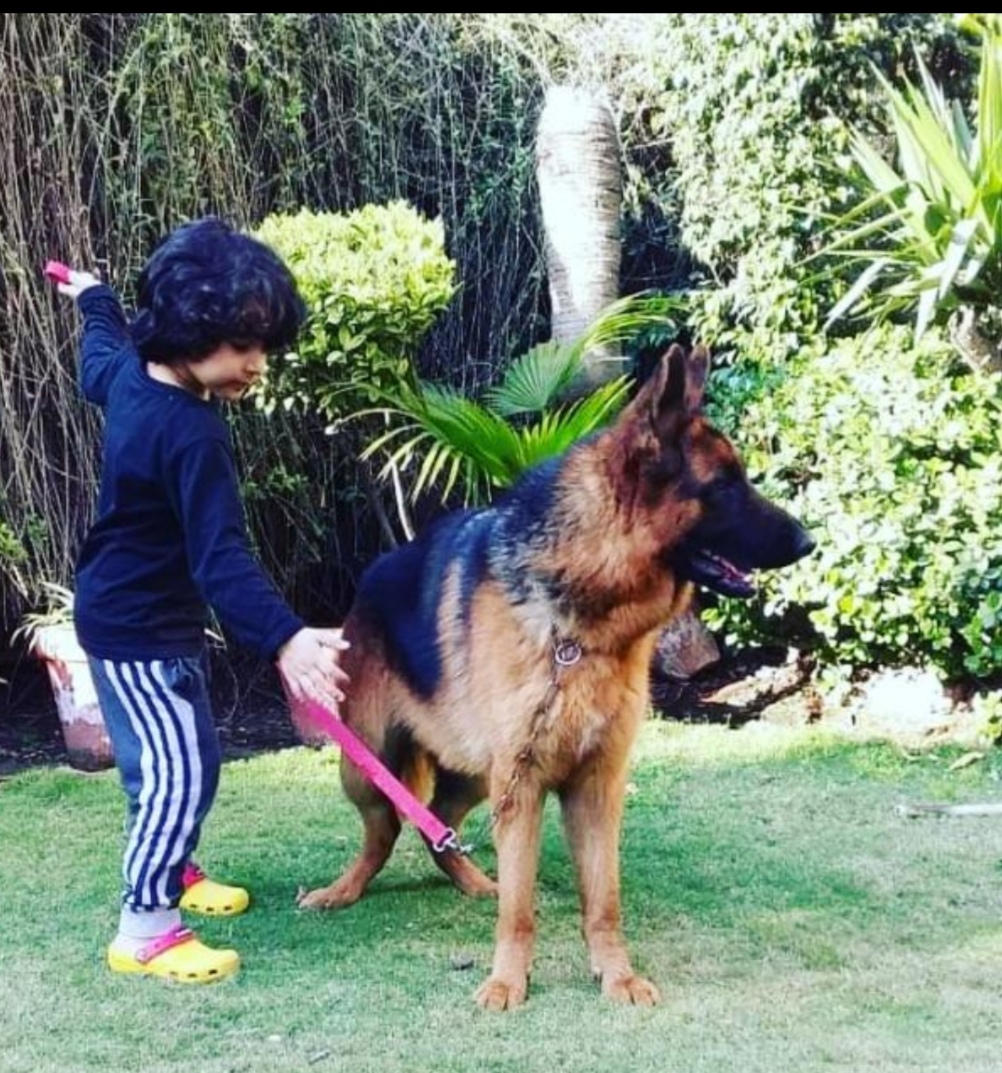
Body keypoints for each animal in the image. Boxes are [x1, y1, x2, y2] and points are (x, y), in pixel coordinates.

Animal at [298, 343, 815, 1009]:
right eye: (724, 485)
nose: (809, 541)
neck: (584, 624)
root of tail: (370, 577)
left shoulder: (594, 787)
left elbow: (604, 901)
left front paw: (616, 974)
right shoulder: (523, 789)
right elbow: (521, 909)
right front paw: (507, 982)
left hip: (476, 775)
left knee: (437, 827)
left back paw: (470, 877)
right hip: (367, 768)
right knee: (386, 829)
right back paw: (344, 890)